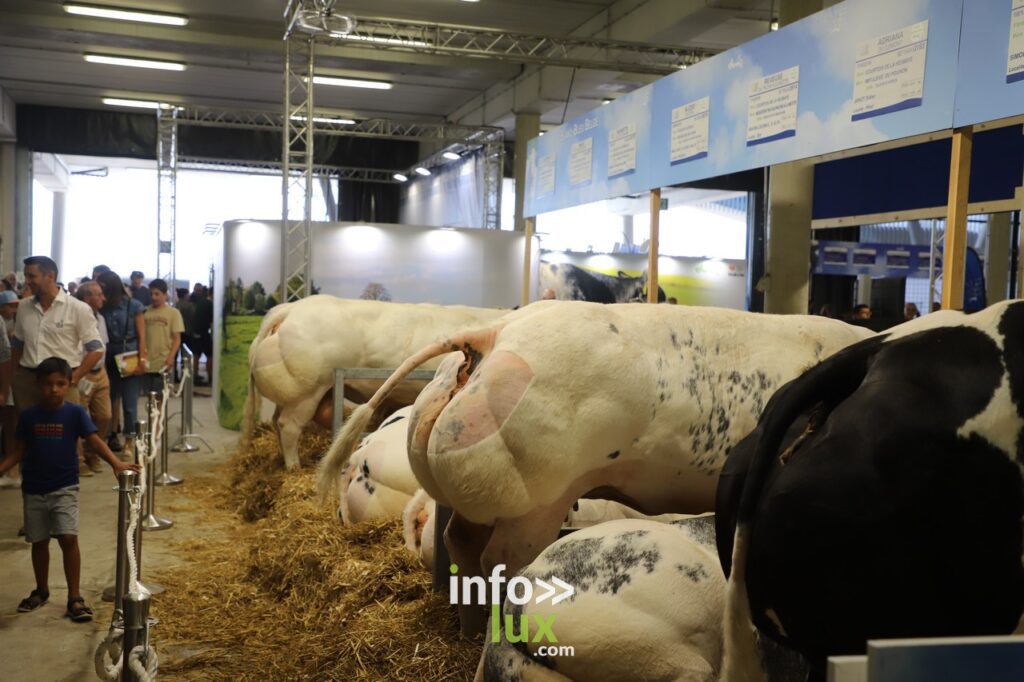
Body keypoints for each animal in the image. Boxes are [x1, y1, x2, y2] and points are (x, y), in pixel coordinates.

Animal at [244, 294, 507, 471]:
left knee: (277, 422)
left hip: (292, 395)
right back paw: (294, 466)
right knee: (289, 426)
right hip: (306, 393)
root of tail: (290, 309)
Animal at [317, 299, 872, 630]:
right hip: (536, 498)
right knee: (501, 562)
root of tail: (493, 334)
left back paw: (470, 626)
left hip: (474, 490)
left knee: (460, 546)